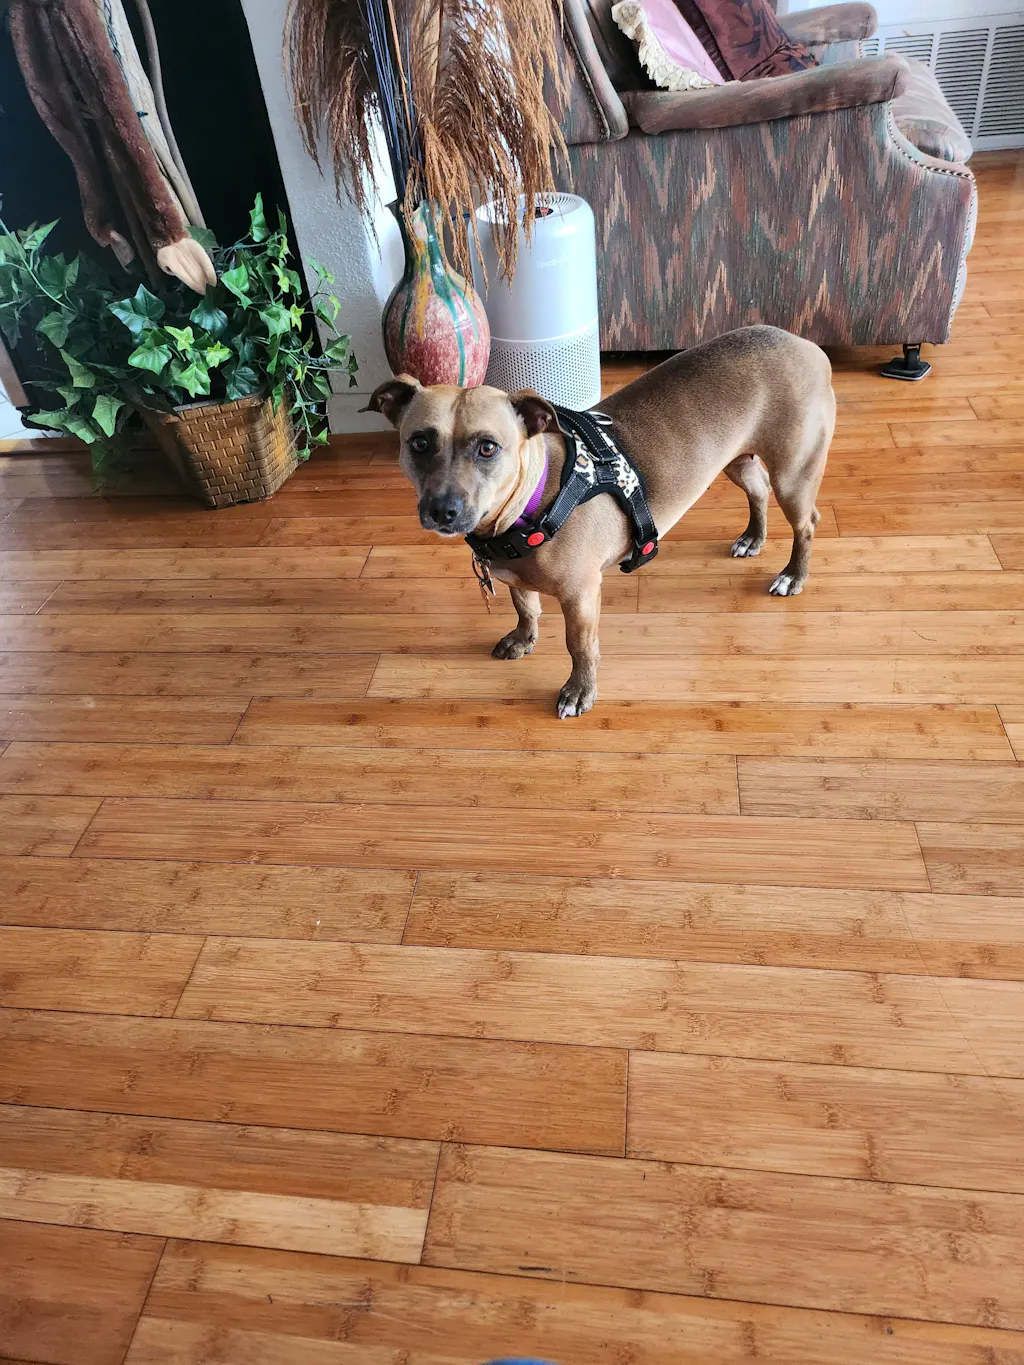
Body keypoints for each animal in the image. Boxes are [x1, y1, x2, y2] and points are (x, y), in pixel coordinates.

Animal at [366, 324, 835, 718]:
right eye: (419, 442)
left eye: (487, 447)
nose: (442, 510)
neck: (533, 501)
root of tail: (803, 344)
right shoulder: (516, 577)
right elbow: (524, 605)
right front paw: (522, 638)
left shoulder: (580, 595)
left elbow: (580, 646)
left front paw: (579, 691)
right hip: (735, 460)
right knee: (757, 489)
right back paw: (753, 537)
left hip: (794, 474)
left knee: (806, 523)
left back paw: (793, 575)